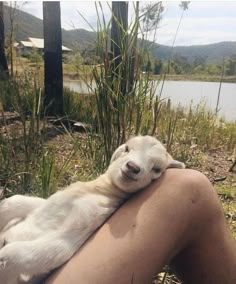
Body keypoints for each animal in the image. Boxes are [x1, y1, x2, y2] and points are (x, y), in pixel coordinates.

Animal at [0, 135, 185, 282]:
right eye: (127, 148)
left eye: (157, 169)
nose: (133, 167)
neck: (98, 191)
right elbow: (13, 202)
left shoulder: (75, 234)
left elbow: (15, 254)